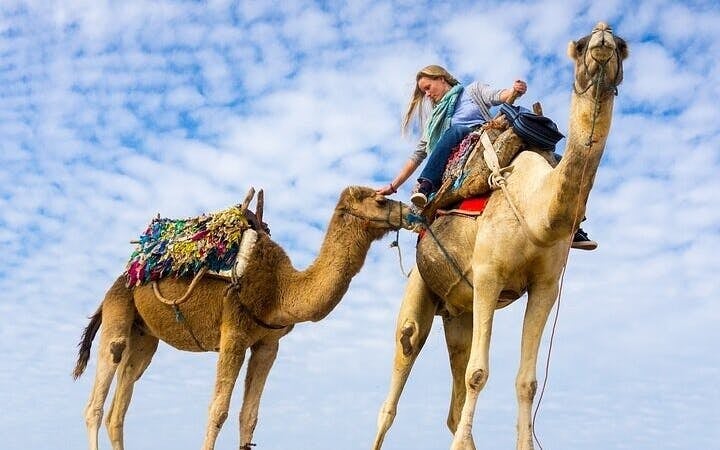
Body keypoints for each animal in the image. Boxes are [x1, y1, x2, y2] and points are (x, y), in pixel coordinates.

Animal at [73, 186, 411, 450]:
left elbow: (249, 416)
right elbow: (218, 409)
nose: (411, 211)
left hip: (144, 337)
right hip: (119, 309)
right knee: (96, 403)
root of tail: (120, 281)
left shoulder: (268, 344)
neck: (280, 288)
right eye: (380, 200)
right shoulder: (233, 331)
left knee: (119, 408)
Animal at [372, 23, 628, 450]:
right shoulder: (489, 275)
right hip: (421, 288)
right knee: (398, 374)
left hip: (458, 314)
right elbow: (478, 374)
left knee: (454, 398)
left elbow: (527, 382)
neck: (537, 211)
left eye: (623, 46)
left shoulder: (545, 287)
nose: (603, 37)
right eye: (579, 46)